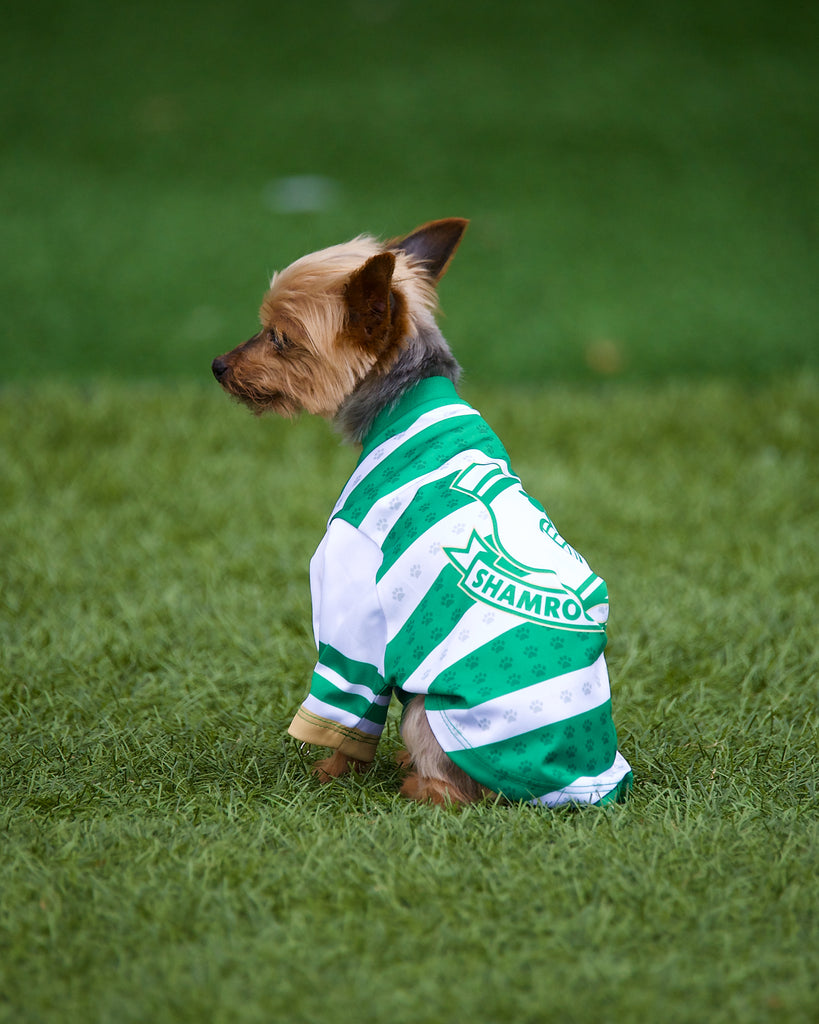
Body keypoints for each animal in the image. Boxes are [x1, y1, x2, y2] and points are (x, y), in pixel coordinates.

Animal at [212, 218, 634, 806]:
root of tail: (577, 788)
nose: (217, 365)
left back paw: (413, 784)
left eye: (279, 337)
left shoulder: (351, 594)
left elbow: (348, 705)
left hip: (430, 713)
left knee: (450, 793)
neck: (402, 398)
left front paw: (328, 774)